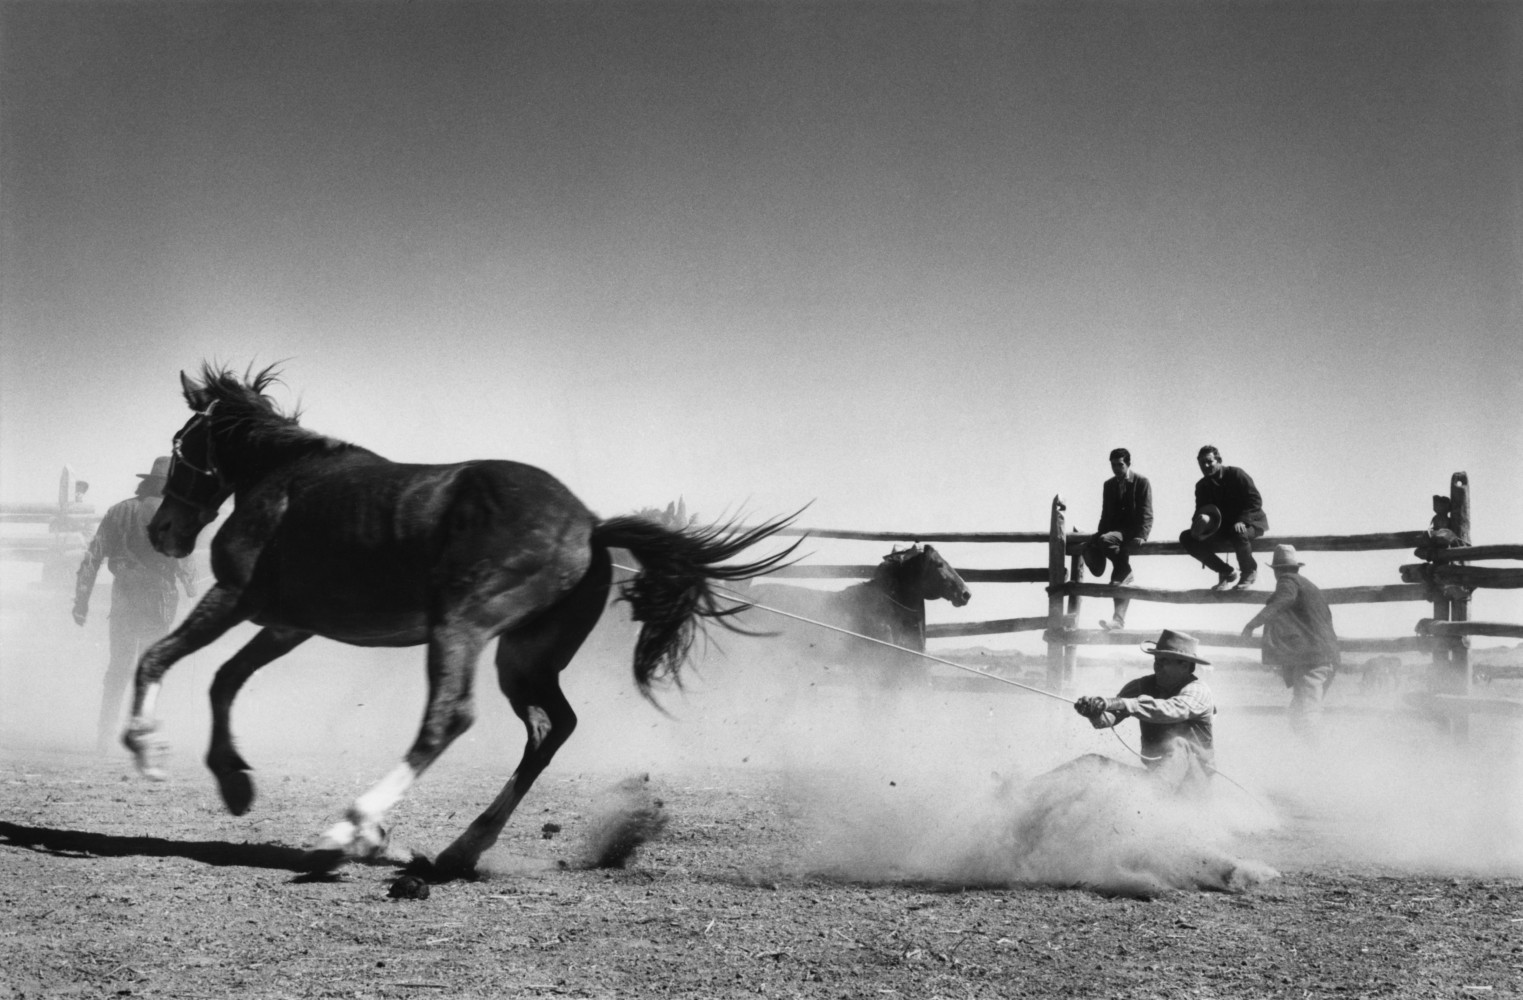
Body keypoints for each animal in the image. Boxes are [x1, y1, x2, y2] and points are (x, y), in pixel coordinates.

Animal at [127, 364, 798, 879]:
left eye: (183, 443)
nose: (161, 531)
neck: (287, 480)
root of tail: (590, 526)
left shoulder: (235, 596)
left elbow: (156, 657)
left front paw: (146, 749)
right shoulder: (289, 625)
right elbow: (224, 681)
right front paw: (234, 782)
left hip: (462, 628)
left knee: (449, 718)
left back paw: (356, 828)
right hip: (522, 657)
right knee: (549, 728)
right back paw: (458, 849)